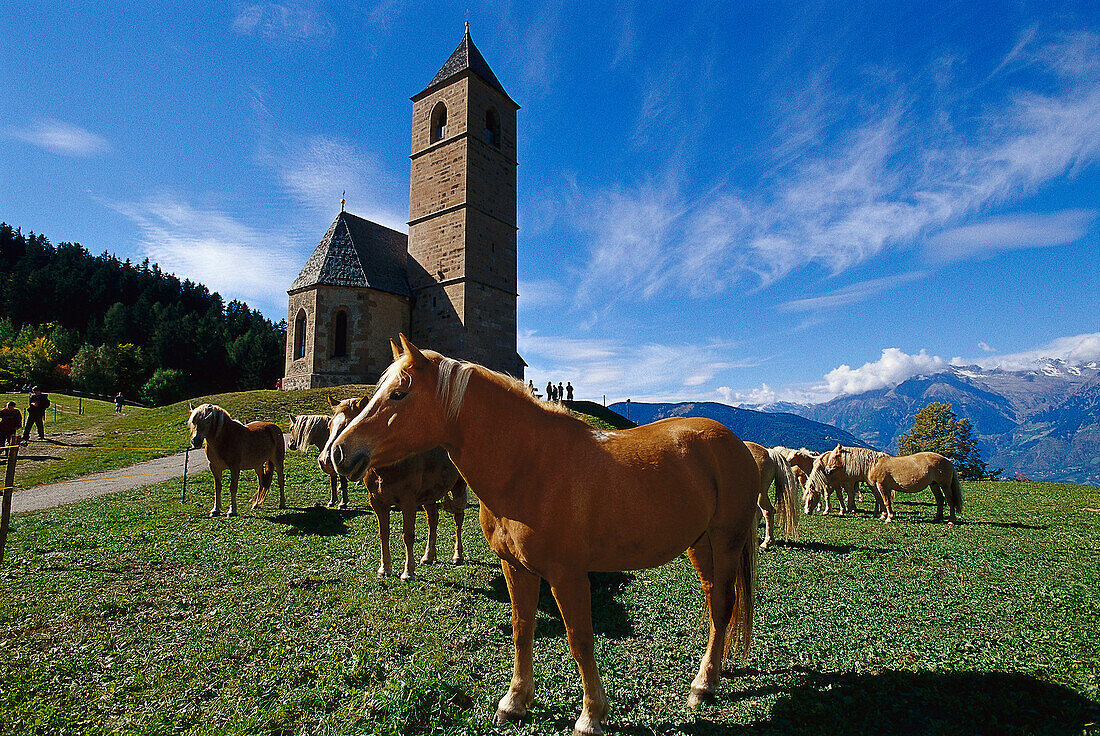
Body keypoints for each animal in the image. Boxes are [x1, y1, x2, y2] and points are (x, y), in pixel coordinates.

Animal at [321, 396, 468, 580]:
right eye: (329, 425)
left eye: (350, 424)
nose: (327, 460)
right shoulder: (377, 502)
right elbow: (383, 532)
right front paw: (385, 568)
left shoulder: (408, 502)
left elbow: (408, 535)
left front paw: (408, 571)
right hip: (429, 495)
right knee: (433, 520)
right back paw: (428, 556)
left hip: (458, 487)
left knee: (458, 519)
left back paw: (457, 555)